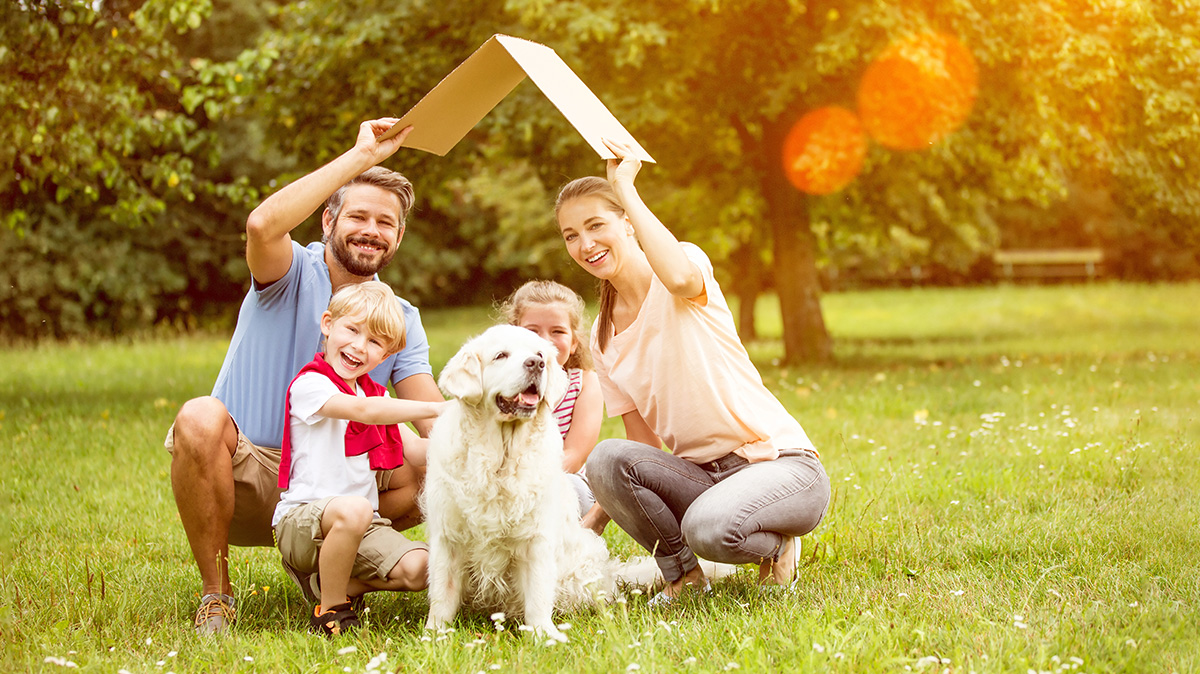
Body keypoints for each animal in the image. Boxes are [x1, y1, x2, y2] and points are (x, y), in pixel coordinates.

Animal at [422, 326, 614, 638]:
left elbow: (537, 594)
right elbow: (442, 592)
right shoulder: (448, 537)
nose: (536, 364)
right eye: (501, 355)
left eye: (539, 354)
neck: (500, 458)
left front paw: (545, 635)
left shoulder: (536, 538)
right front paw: (434, 634)